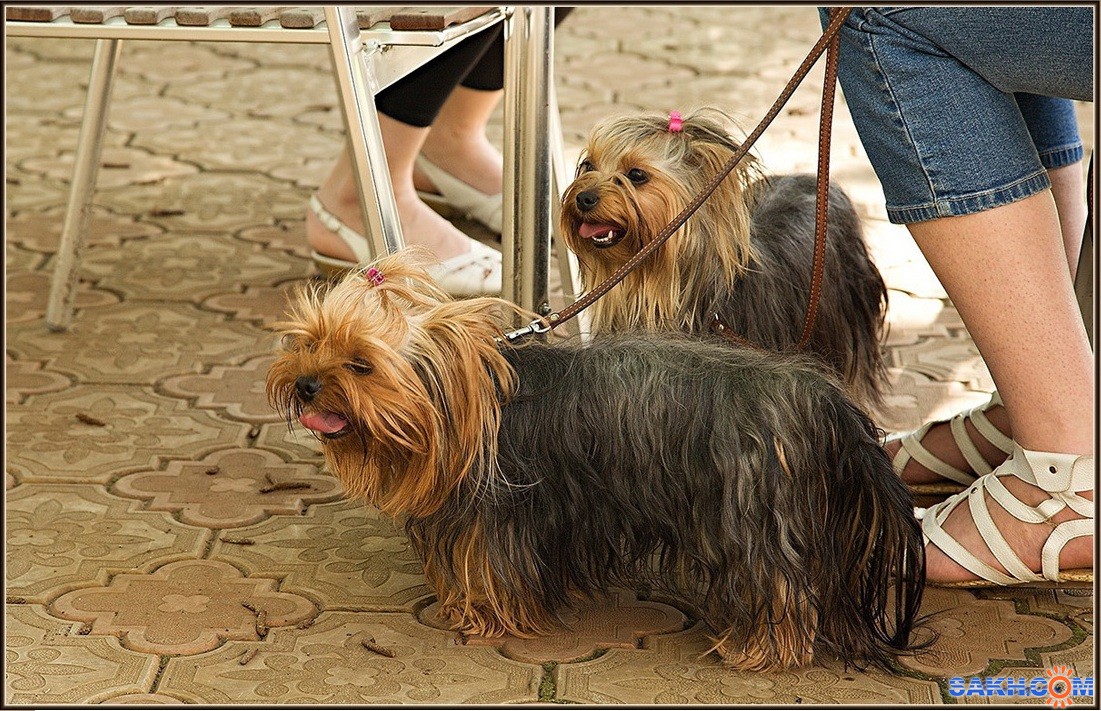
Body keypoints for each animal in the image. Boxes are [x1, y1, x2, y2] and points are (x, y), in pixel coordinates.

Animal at [267, 249, 923, 672]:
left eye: (361, 365)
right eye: (308, 342)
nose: (304, 384)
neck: (460, 411)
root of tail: (824, 399)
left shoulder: (497, 518)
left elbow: (490, 569)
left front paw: (480, 617)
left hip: (751, 517)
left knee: (779, 587)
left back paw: (756, 650)